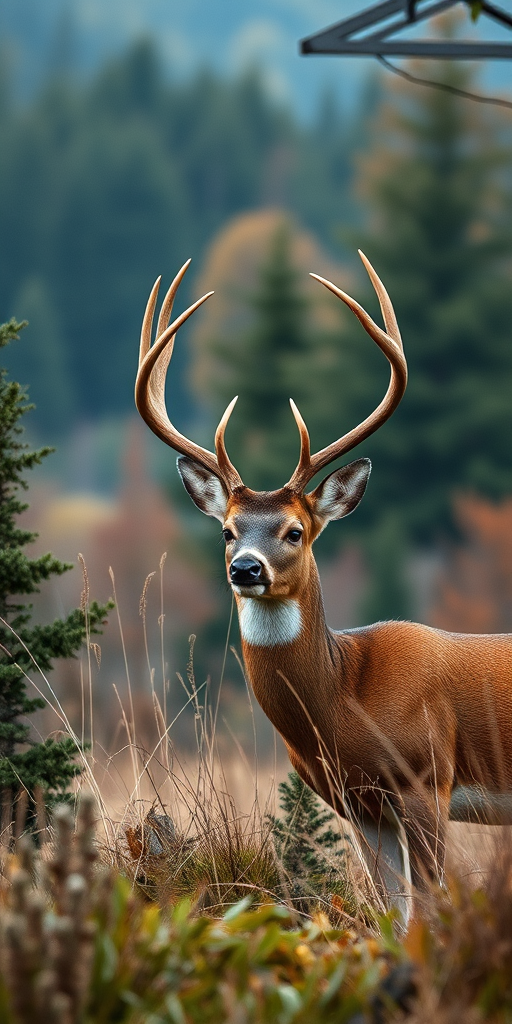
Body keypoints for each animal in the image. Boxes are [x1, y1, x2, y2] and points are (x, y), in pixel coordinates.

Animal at [135, 253, 512, 923]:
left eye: (294, 530)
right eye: (228, 530)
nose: (246, 569)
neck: (344, 699)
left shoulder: (425, 778)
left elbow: (432, 905)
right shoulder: (360, 804)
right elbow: (394, 915)